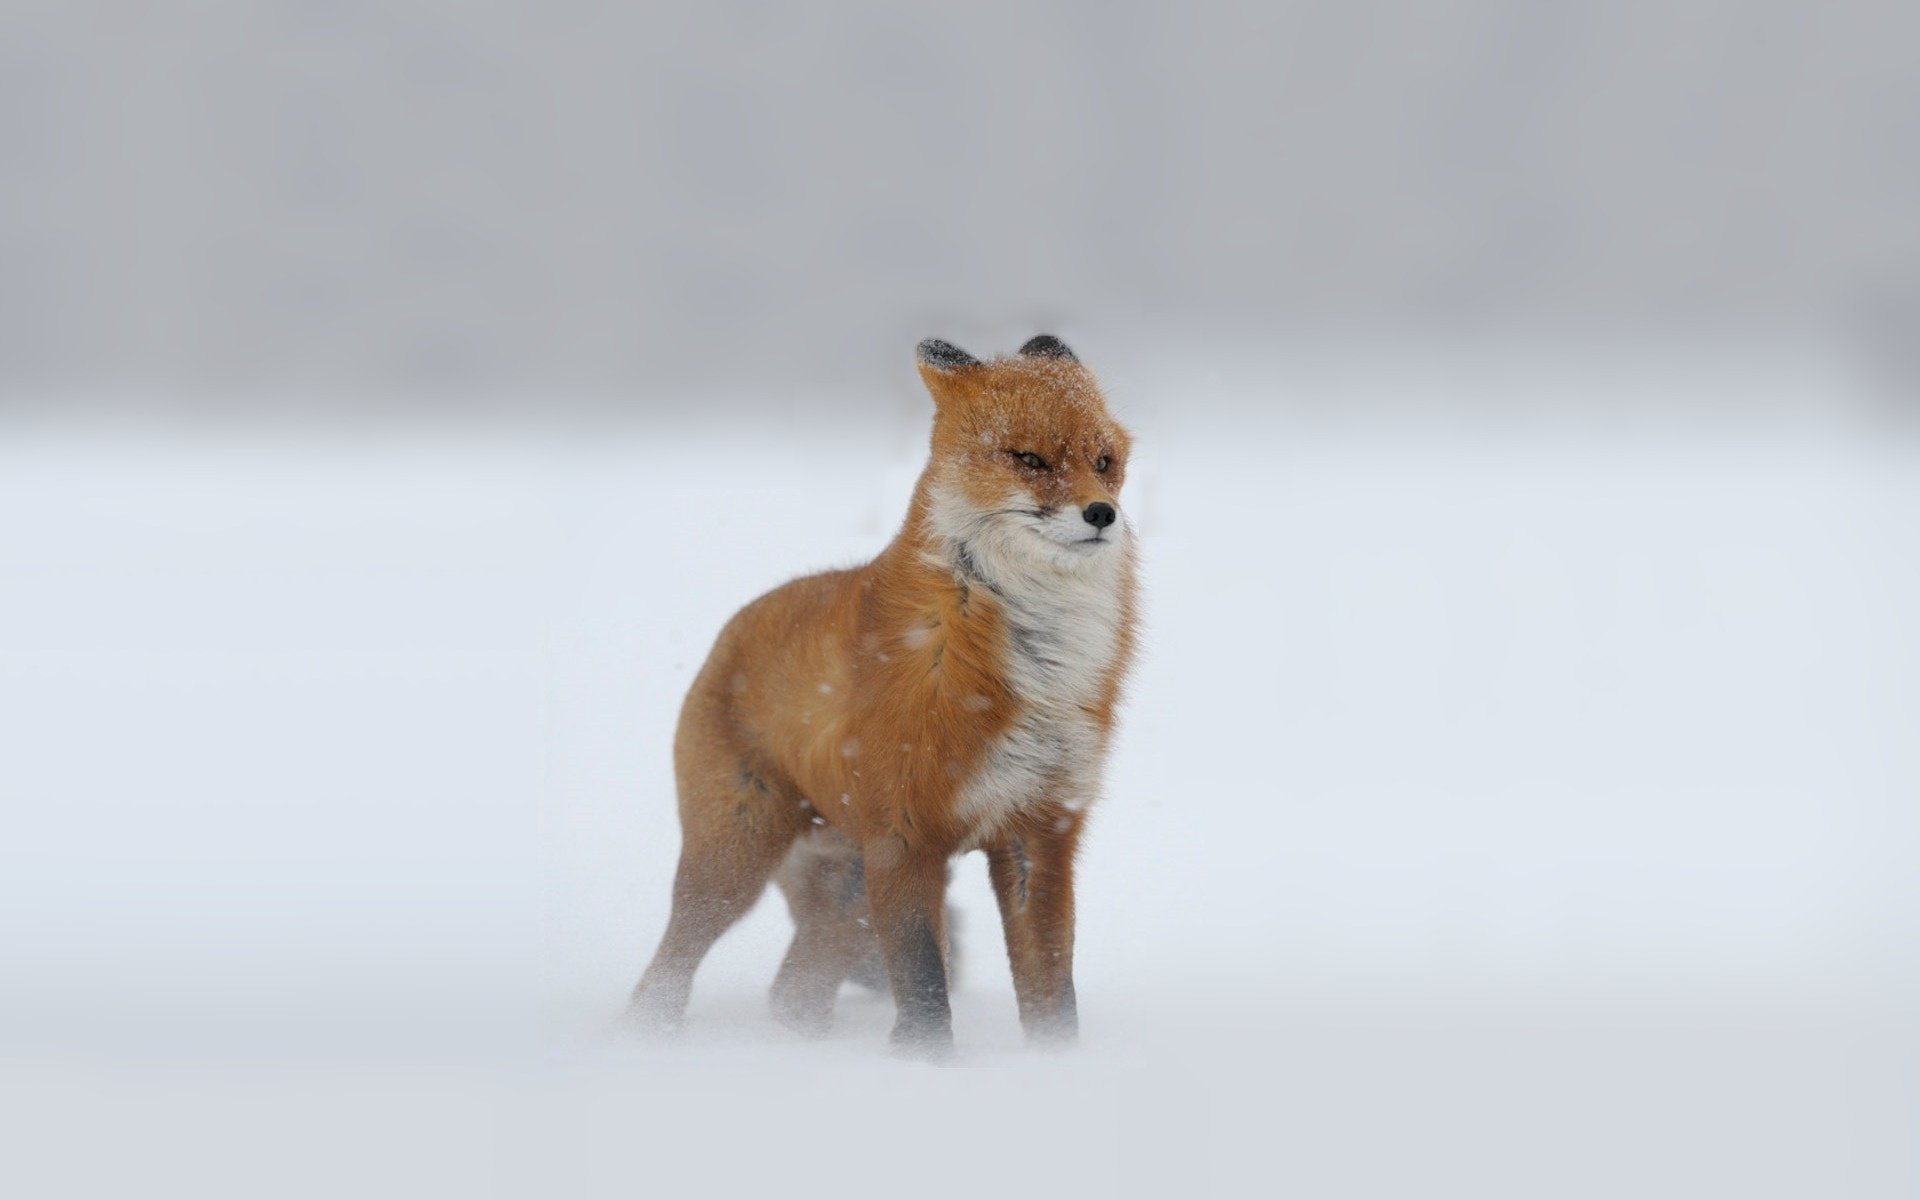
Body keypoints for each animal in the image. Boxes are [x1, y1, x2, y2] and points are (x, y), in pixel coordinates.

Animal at [627, 334, 1137, 1055]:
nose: (1102, 513)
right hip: (735, 861)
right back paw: (650, 1039)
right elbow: (923, 985)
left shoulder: (1039, 831)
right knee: (666, 972)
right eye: (1030, 459)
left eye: (1104, 462)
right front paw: (926, 1068)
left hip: (845, 887)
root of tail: (733, 628)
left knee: (793, 993)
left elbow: (1052, 989)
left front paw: (1055, 1065)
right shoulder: (904, 835)